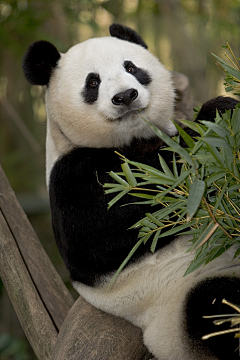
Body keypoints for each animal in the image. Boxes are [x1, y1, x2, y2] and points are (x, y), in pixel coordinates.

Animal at [23, 23, 240, 358]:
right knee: (215, 309)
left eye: (131, 67)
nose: (125, 96)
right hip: (181, 301)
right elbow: (108, 228)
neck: (133, 139)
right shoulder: (69, 177)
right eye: (93, 82)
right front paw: (215, 116)